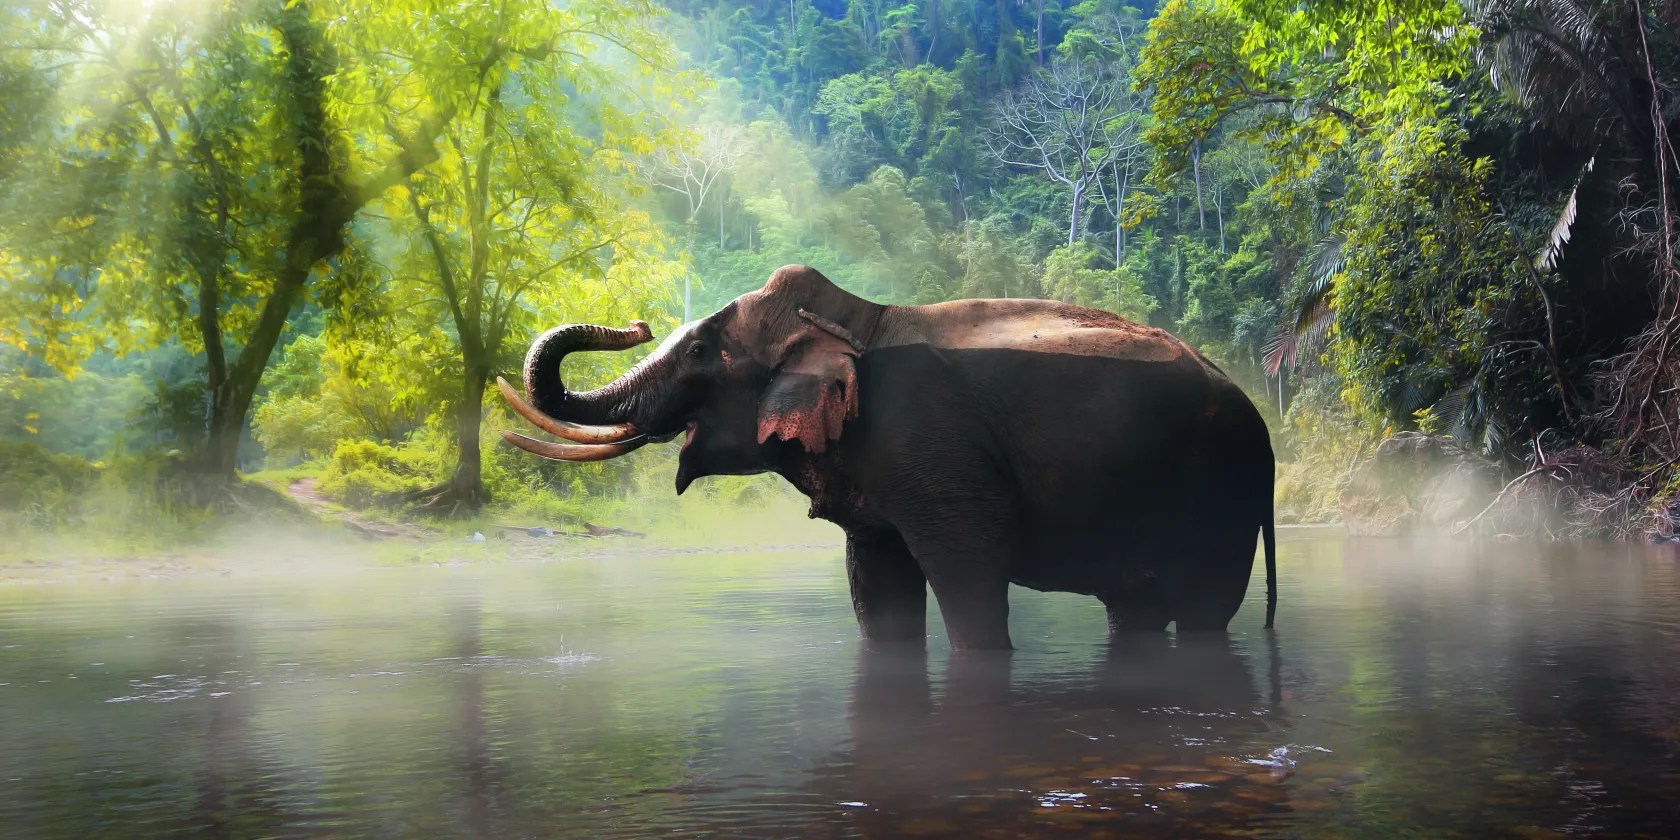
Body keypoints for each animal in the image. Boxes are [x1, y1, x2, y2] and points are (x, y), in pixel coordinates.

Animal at [497, 264, 1276, 650]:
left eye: (696, 351)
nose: (635, 323)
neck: (857, 319)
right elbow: (875, 583)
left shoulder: (936, 453)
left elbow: (970, 574)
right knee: (1135, 609)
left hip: (1226, 489)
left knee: (1206, 610)